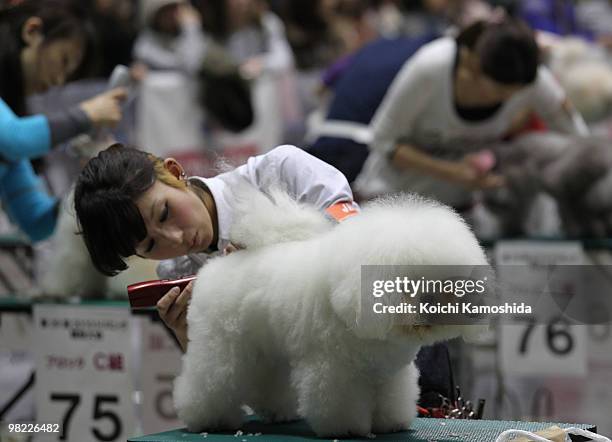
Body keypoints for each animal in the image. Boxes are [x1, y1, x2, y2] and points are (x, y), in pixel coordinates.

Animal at [173, 188, 488, 436]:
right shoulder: (336, 369)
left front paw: (391, 424)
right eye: (404, 282)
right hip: (222, 349)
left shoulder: (389, 372)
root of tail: (219, 265)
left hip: (269, 352)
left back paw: (279, 413)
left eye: (441, 281)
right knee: (208, 382)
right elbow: (340, 402)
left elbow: (391, 398)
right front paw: (346, 429)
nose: (430, 303)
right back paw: (208, 419)